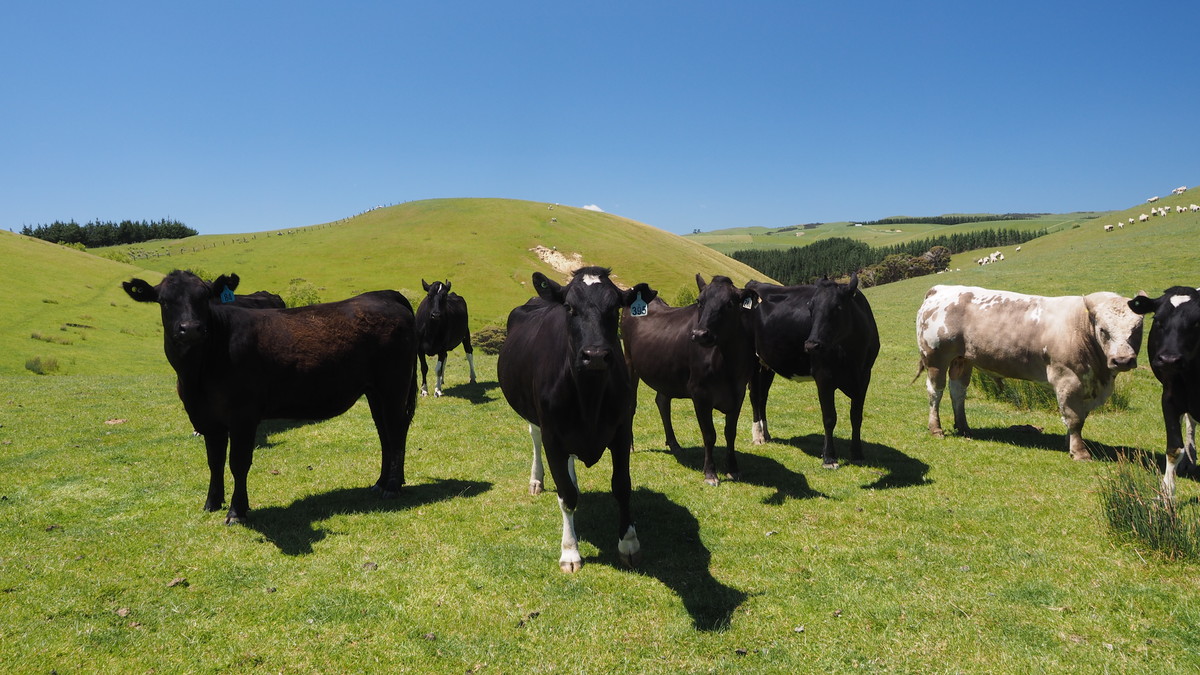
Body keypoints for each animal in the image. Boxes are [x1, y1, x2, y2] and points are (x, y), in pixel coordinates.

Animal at [121, 267, 420, 521]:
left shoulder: (243, 416)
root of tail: (384, 295)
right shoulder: (207, 419)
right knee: (384, 433)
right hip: (374, 392)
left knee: (396, 431)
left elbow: (238, 462)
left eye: (205, 297)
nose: (191, 328)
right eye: (164, 301)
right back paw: (381, 482)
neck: (196, 375)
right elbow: (214, 461)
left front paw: (237, 511)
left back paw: (393, 486)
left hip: (393, 386)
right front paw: (212, 503)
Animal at [501, 265, 662, 569]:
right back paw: (537, 480)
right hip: (535, 418)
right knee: (534, 438)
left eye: (615, 308)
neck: (589, 398)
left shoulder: (621, 430)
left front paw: (629, 543)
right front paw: (570, 551)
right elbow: (566, 496)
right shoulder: (553, 437)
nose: (595, 355)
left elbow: (622, 486)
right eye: (569, 307)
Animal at [624, 273, 753, 482]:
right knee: (630, 405)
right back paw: (630, 445)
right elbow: (709, 434)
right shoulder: (699, 393)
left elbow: (730, 432)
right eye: (699, 301)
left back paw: (674, 443)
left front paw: (733, 468)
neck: (728, 365)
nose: (700, 334)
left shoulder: (739, 392)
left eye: (729, 304)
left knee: (662, 401)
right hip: (629, 363)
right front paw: (710, 473)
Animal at [748, 273, 883, 468]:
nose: (811, 344)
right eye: (810, 308)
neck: (852, 354)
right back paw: (758, 435)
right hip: (751, 359)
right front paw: (829, 457)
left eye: (837, 308)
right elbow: (829, 417)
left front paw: (857, 454)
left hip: (767, 363)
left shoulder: (864, 376)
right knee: (753, 396)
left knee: (762, 397)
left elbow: (856, 417)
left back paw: (766, 434)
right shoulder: (823, 376)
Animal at [1128, 283, 1195, 494]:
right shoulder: (1170, 399)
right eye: (1157, 320)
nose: (1169, 359)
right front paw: (1166, 494)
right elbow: (1174, 449)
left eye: (1196, 322)